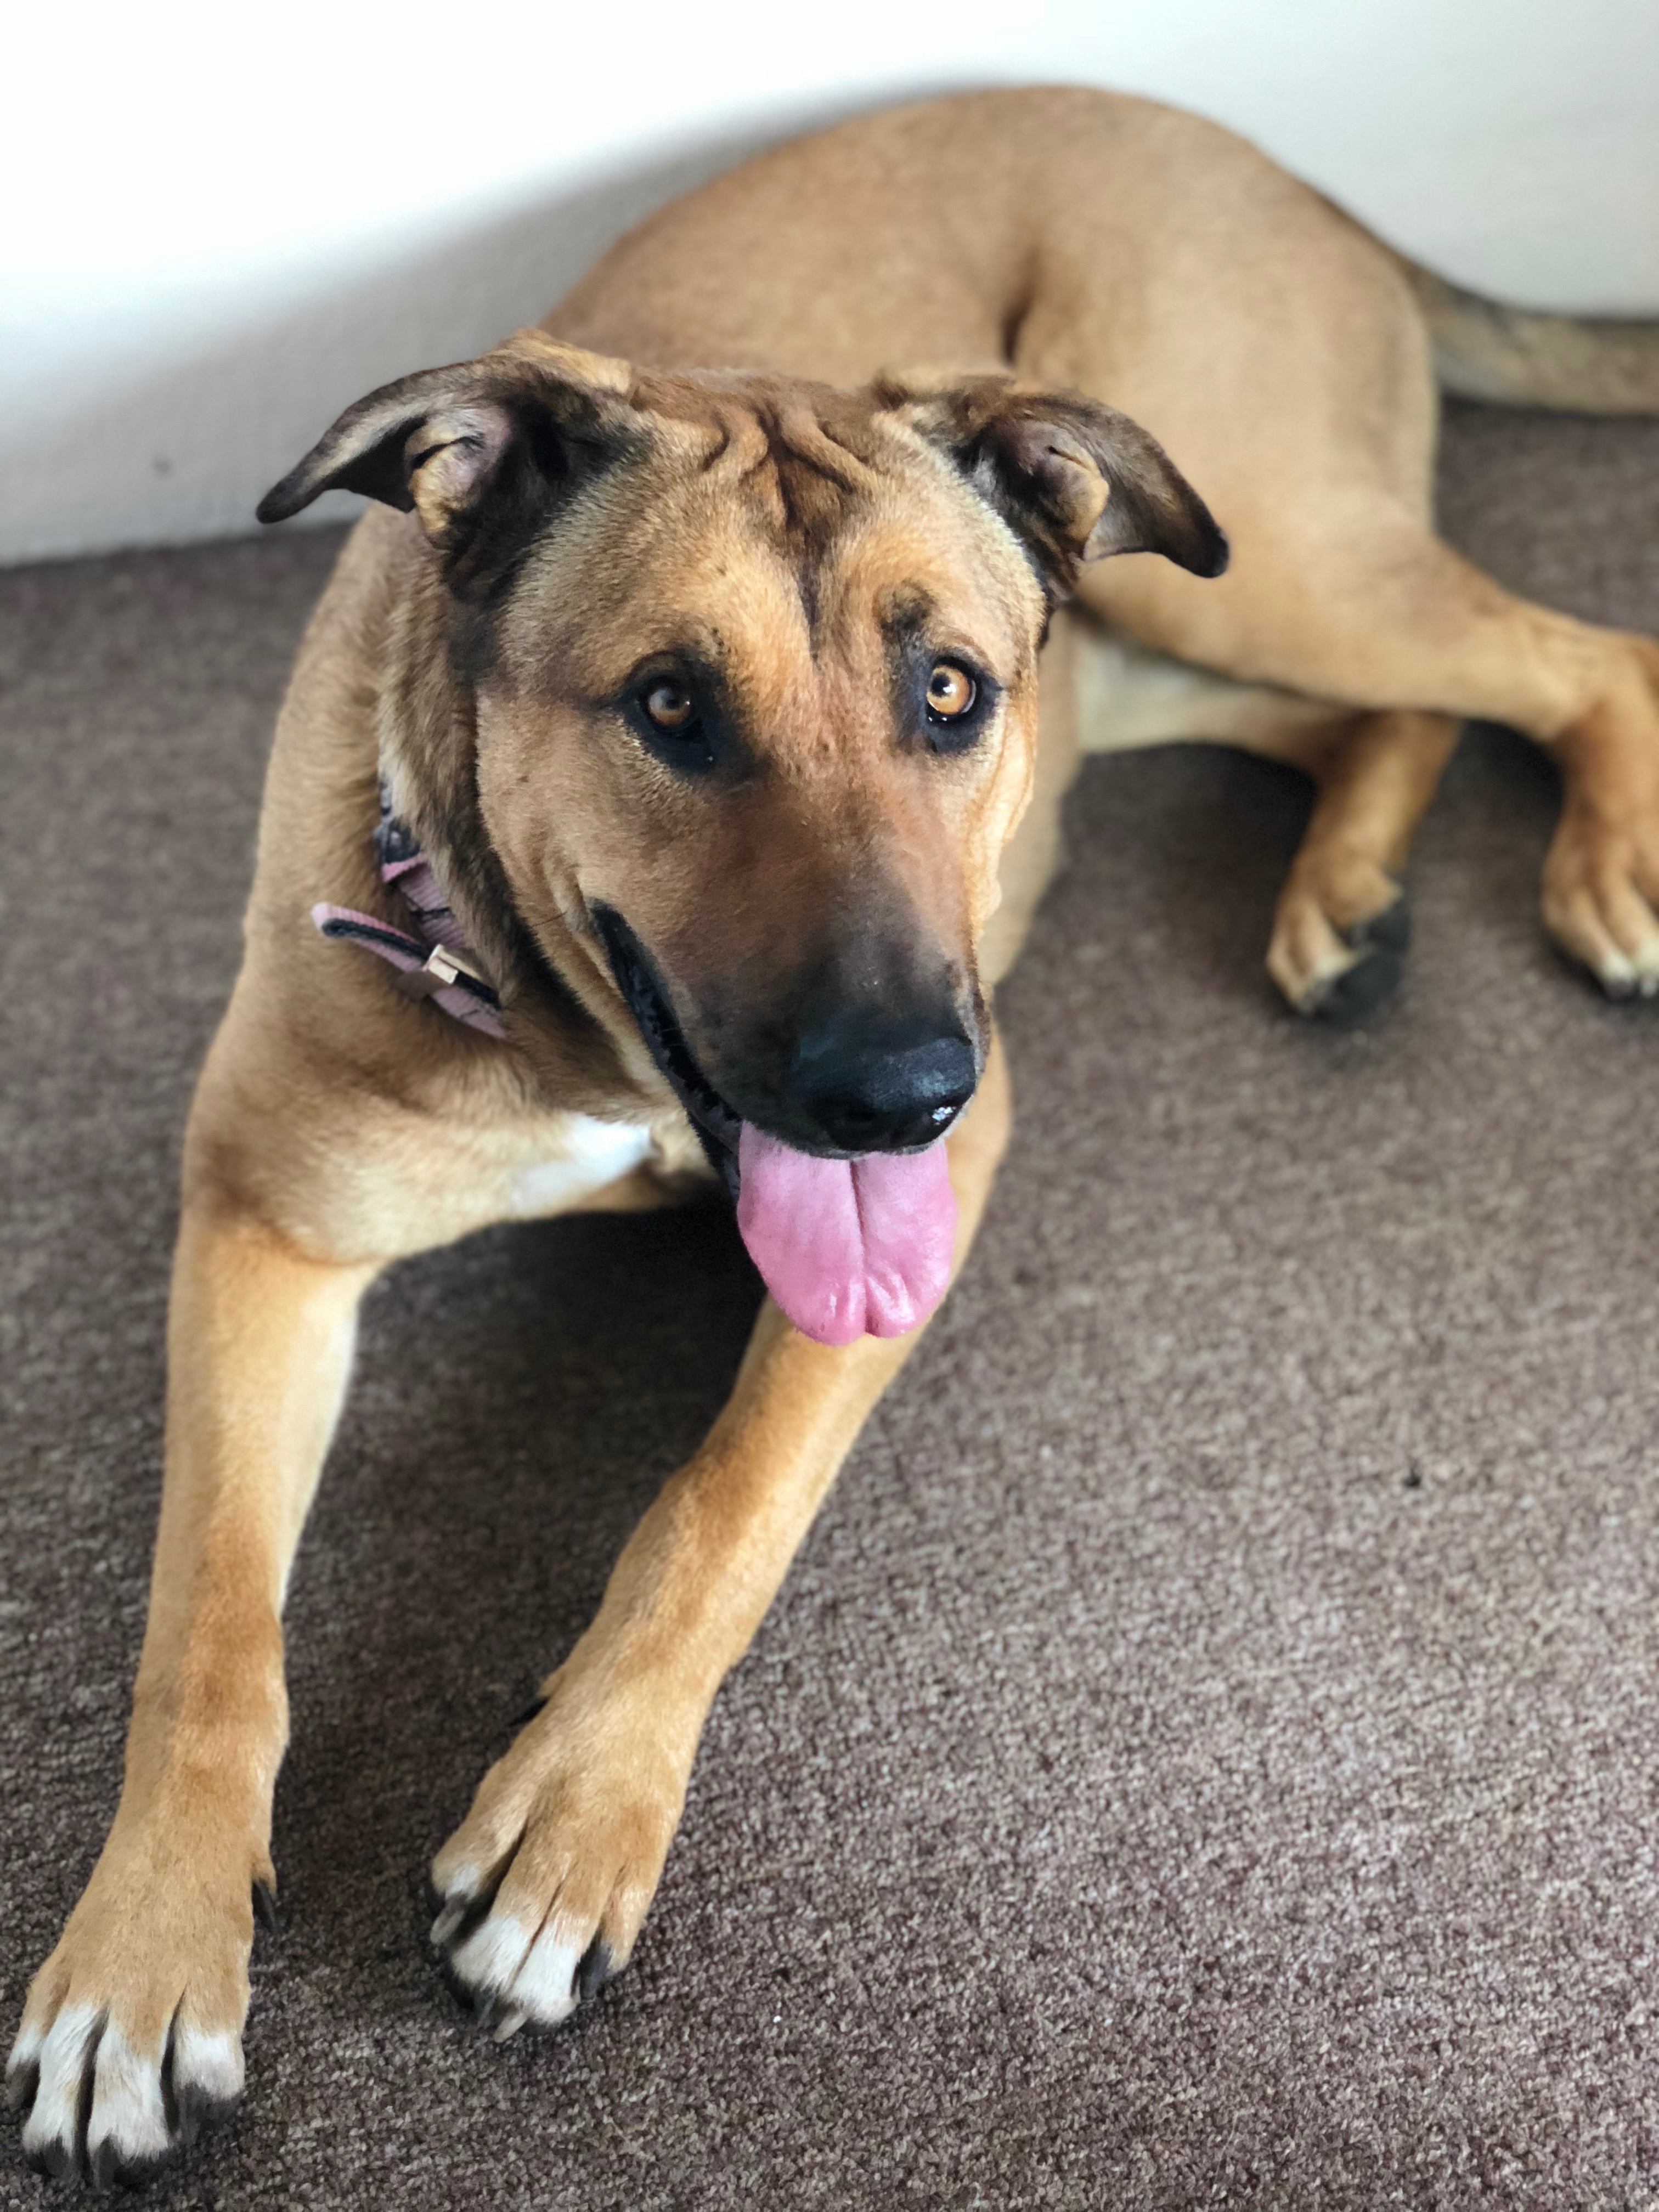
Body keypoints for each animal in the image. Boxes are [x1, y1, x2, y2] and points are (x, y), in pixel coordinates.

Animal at [10, 84, 1659, 2186]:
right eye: (667, 706)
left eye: (943, 692)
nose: (898, 1090)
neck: (581, 1043)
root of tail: (1269, 161)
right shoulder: (258, 1227)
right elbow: (207, 1626)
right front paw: (141, 1953)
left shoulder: (922, 1199)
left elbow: (723, 1506)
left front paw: (578, 1813)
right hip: (1152, 624)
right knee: (1366, 713)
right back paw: (1349, 894)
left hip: (1251, 551)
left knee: (1584, 656)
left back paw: (1600, 867)